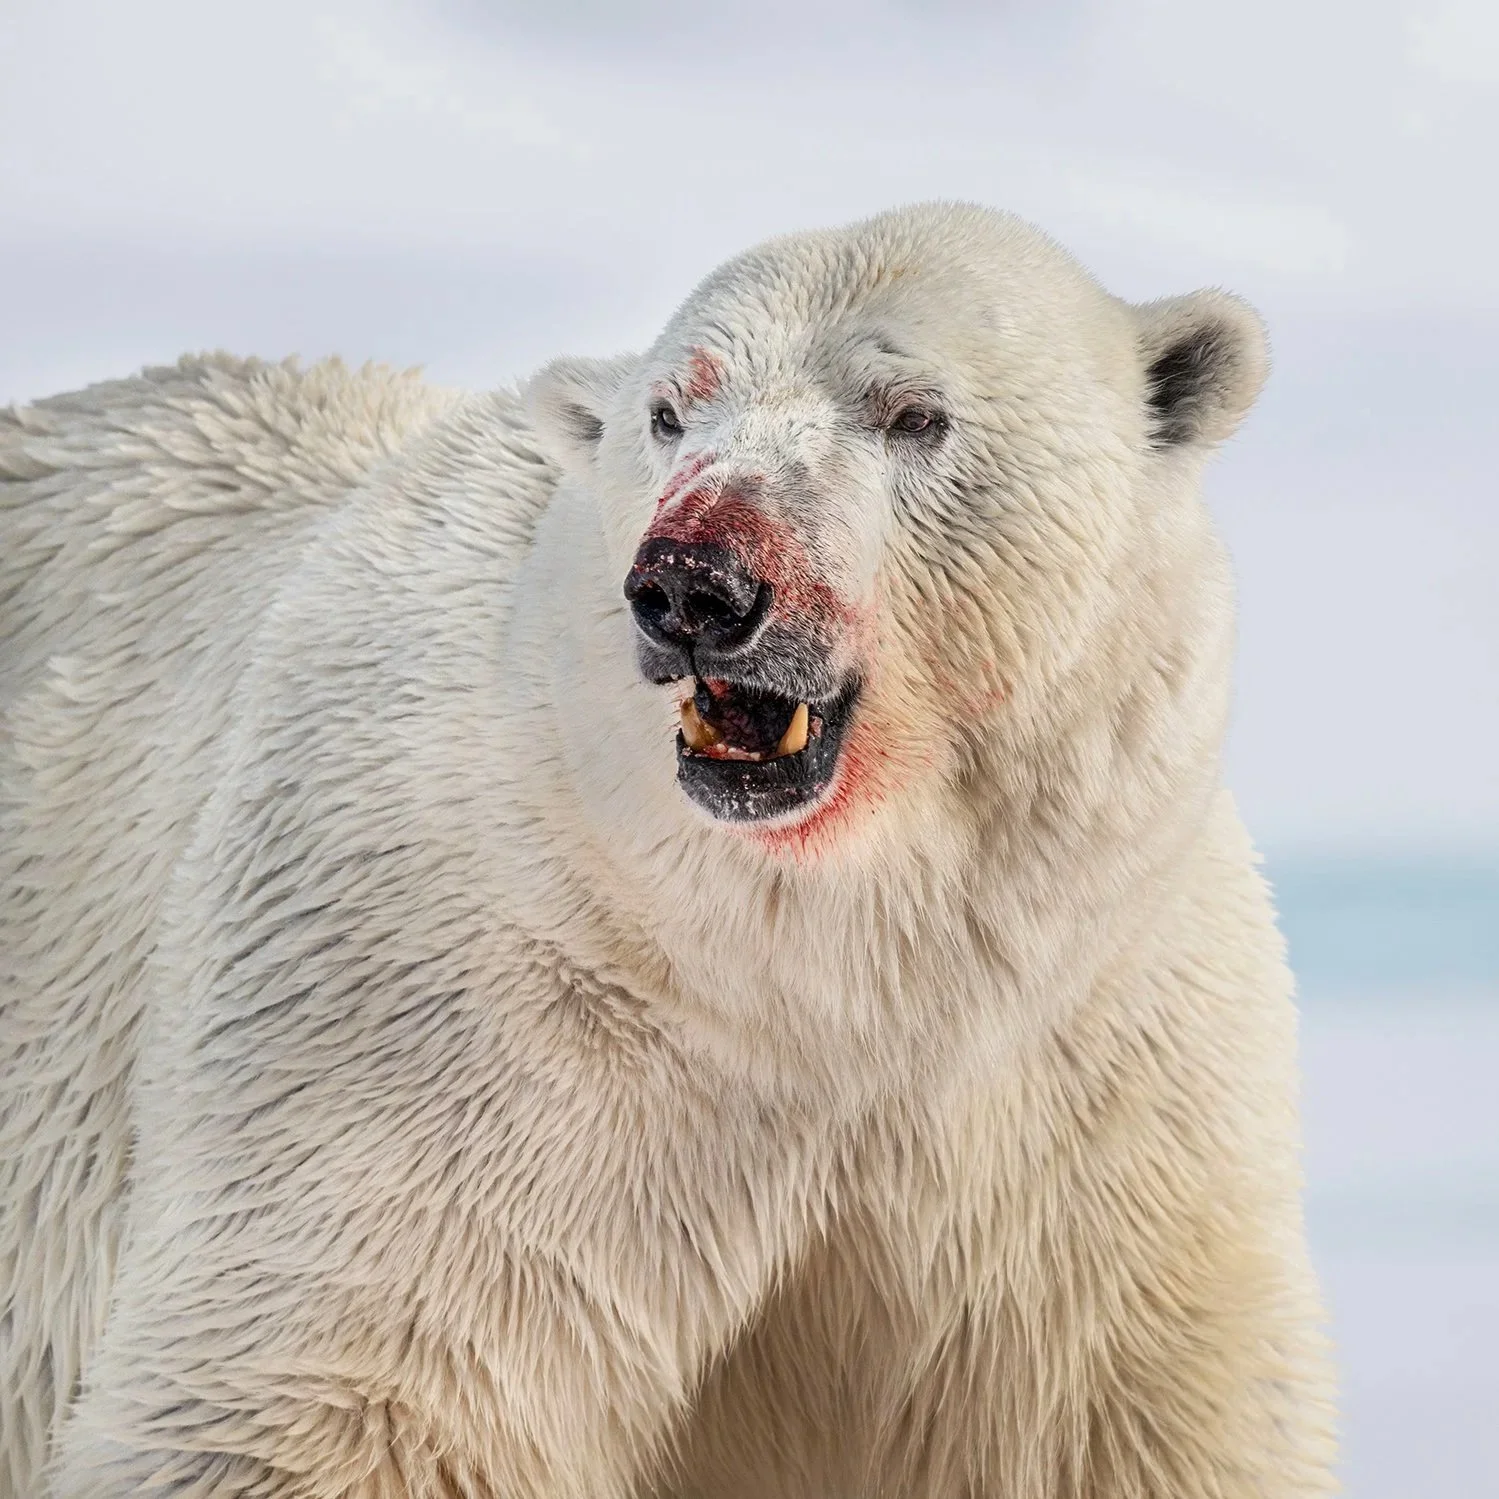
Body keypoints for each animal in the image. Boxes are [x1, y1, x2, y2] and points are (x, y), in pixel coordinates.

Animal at [0, 202, 1337, 1498]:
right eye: (668, 409)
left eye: (914, 410)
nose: (697, 581)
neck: (819, 957)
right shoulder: (449, 1020)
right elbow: (332, 1392)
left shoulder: (1083, 1064)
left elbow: (1115, 1407)